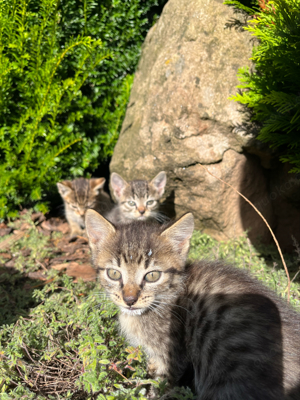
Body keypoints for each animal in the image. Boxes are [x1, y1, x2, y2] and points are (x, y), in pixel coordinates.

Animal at [85, 211, 300, 398]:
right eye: (114, 273)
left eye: (152, 276)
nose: (129, 300)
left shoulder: (173, 355)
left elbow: (162, 383)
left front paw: (153, 394)